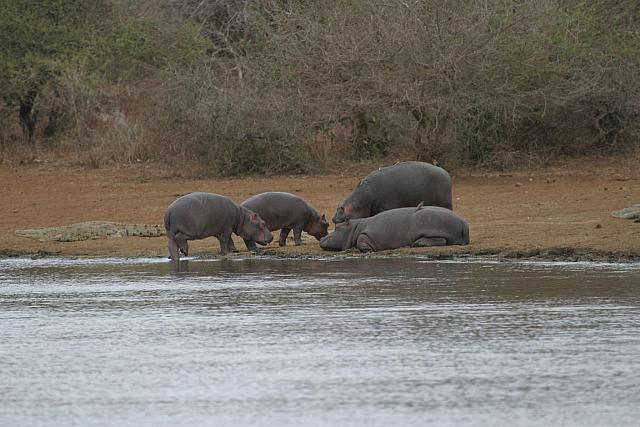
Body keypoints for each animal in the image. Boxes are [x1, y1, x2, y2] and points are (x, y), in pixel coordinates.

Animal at [320, 205, 469, 252]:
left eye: (337, 228)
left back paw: (416, 243)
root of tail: (463, 222)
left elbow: (361, 240)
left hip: (434, 226)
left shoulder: (366, 234)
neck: (355, 228)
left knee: (441, 240)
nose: (322, 238)